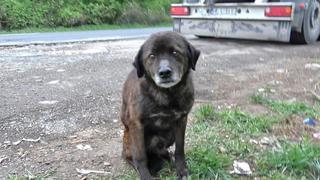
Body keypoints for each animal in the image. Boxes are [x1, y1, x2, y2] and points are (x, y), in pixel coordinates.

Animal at [120, 31, 200, 179]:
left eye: (175, 52)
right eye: (152, 55)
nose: (164, 72)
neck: (166, 94)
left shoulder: (181, 120)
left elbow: (180, 149)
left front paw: (182, 170)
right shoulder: (136, 124)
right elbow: (140, 155)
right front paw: (145, 176)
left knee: (164, 151)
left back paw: (168, 158)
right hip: (130, 137)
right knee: (130, 155)